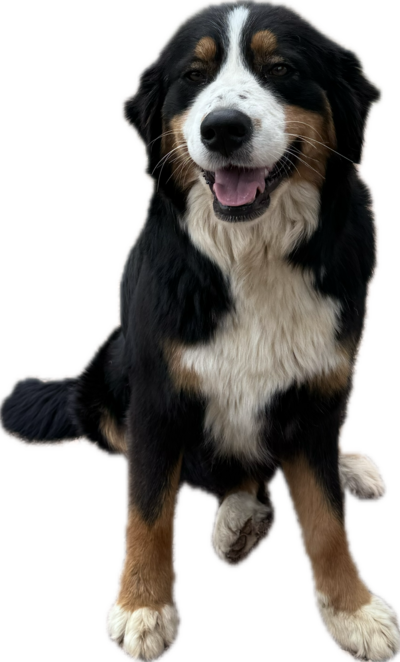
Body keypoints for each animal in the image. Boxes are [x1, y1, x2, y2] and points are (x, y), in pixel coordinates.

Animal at [1, 1, 398, 660]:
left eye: (280, 68)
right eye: (194, 75)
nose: (223, 129)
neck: (250, 255)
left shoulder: (316, 385)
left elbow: (324, 521)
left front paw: (354, 609)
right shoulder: (158, 393)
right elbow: (149, 508)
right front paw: (142, 607)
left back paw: (340, 471)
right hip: (111, 372)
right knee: (221, 473)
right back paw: (240, 522)